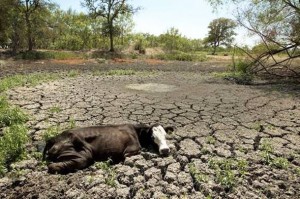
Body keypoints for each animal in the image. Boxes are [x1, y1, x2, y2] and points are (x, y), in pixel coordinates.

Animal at [42, 123, 173, 173]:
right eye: (152, 137)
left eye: (166, 135)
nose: (165, 150)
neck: (136, 132)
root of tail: (53, 139)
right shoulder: (130, 150)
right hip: (82, 154)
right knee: (52, 166)